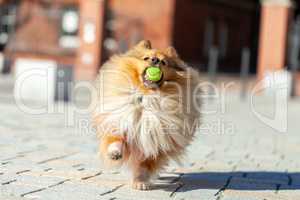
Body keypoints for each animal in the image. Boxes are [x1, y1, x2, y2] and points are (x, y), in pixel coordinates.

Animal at [93, 39, 202, 190]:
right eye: (146, 58)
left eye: (164, 62)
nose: (155, 60)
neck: (147, 97)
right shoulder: (119, 121)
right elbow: (115, 139)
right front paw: (115, 153)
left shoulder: (157, 142)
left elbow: (145, 165)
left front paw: (140, 182)